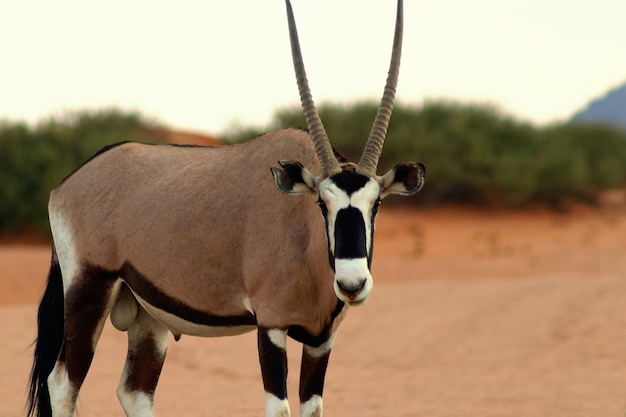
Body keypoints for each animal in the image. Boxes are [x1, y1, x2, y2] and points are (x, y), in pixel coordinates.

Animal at [26, 0, 422, 416]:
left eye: (376, 203)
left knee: (135, 391)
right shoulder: (271, 327)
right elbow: (279, 408)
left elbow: (312, 408)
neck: (304, 238)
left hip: (148, 316)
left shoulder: (321, 339)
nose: (352, 284)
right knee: (63, 384)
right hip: (88, 291)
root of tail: (65, 185)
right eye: (321, 203)